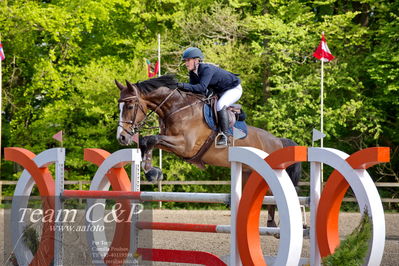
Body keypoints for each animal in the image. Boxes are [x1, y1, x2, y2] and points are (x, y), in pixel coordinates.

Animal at [114, 74, 302, 227]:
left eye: (130, 106)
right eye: (119, 108)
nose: (121, 137)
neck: (176, 107)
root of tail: (278, 141)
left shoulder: (185, 146)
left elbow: (151, 139)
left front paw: (152, 172)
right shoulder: (171, 141)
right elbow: (147, 141)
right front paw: (152, 171)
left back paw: (274, 225)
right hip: (248, 174)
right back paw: (270, 225)